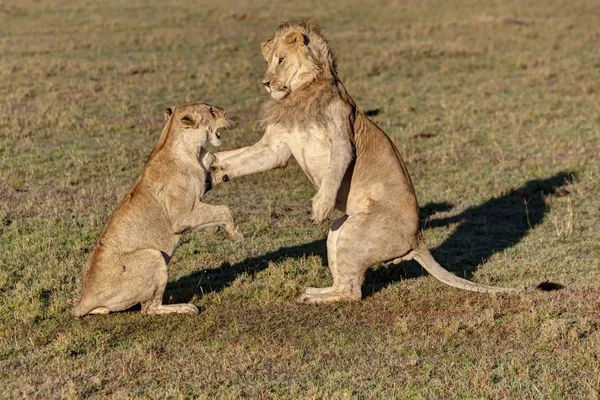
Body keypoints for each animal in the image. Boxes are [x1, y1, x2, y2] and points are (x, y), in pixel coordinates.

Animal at [73, 104, 244, 318]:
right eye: (211, 111)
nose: (226, 113)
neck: (191, 150)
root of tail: (85, 298)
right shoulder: (183, 215)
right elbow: (224, 210)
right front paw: (235, 234)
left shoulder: (209, 163)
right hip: (153, 255)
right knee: (148, 309)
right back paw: (186, 308)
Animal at [209, 22, 516, 304]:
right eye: (268, 61)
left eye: (281, 60)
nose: (266, 83)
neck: (300, 94)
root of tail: (418, 239)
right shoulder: (275, 148)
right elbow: (241, 159)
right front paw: (213, 169)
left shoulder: (342, 140)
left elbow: (334, 172)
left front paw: (319, 207)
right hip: (338, 232)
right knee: (345, 282)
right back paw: (314, 291)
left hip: (353, 234)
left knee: (353, 294)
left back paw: (314, 299)